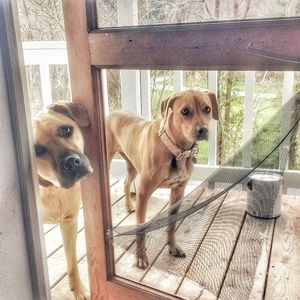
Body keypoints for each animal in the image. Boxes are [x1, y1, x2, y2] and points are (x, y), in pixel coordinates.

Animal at [32, 102, 92, 298]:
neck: (53, 189)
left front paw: (78, 288)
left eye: (66, 130)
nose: (71, 162)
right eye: (38, 150)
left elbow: (72, 261)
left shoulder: (69, 222)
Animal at [105, 89, 218, 270]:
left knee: (126, 182)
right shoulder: (143, 193)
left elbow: (172, 224)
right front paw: (141, 257)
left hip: (132, 164)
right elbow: (141, 228)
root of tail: (112, 113)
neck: (176, 150)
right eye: (185, 111)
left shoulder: (178, 192)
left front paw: (173, 247)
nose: (203, 130)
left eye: (207, 109)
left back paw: (129, 205)